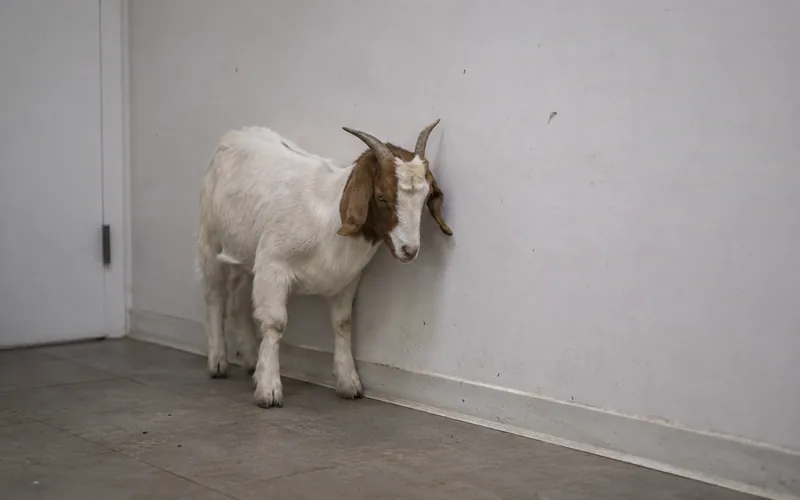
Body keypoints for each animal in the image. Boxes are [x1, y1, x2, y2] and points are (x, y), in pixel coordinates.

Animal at [196, 120, 452, 408]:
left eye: (425, 197)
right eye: (381, 196)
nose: (409, 250)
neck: (328, 218)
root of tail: (236, 135)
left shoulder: (347, 279)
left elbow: (343, 323)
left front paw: (348, 382)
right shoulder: (273, 265)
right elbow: (275, 323)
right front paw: (269, 389)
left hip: (245, 254)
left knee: (237, 299)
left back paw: (251, 360)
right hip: (209, 239)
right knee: (214, 295)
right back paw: (218, 361)